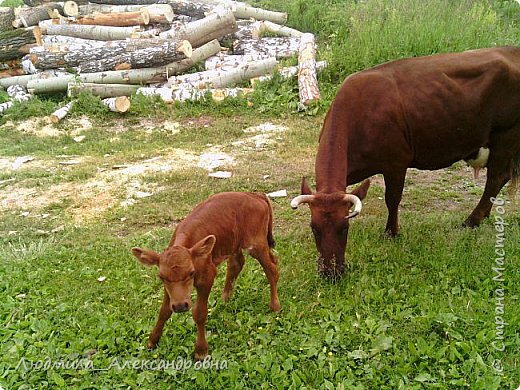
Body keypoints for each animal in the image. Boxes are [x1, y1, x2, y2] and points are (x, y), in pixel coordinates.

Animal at [132, 191, 282, 360]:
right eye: (162, 277)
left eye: (191, 273)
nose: (180, 306)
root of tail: (255, 194)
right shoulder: (169, 288)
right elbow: (164, 310)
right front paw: (153, 340)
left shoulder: (207, 276)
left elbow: (199, 313)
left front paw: (201, 350)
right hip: (233, 241)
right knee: (237, 263)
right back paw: (225, 299)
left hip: (256, 244)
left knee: (272, 268)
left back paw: (275, 305)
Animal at [290, 45, 520, 278]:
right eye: (314, 228)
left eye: (344, 228)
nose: (331, 273)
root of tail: (510, 49)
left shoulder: (396, 163)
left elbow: (392, 200)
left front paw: (391, 233)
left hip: (506, 135)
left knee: (496, 178)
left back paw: (471, 220)